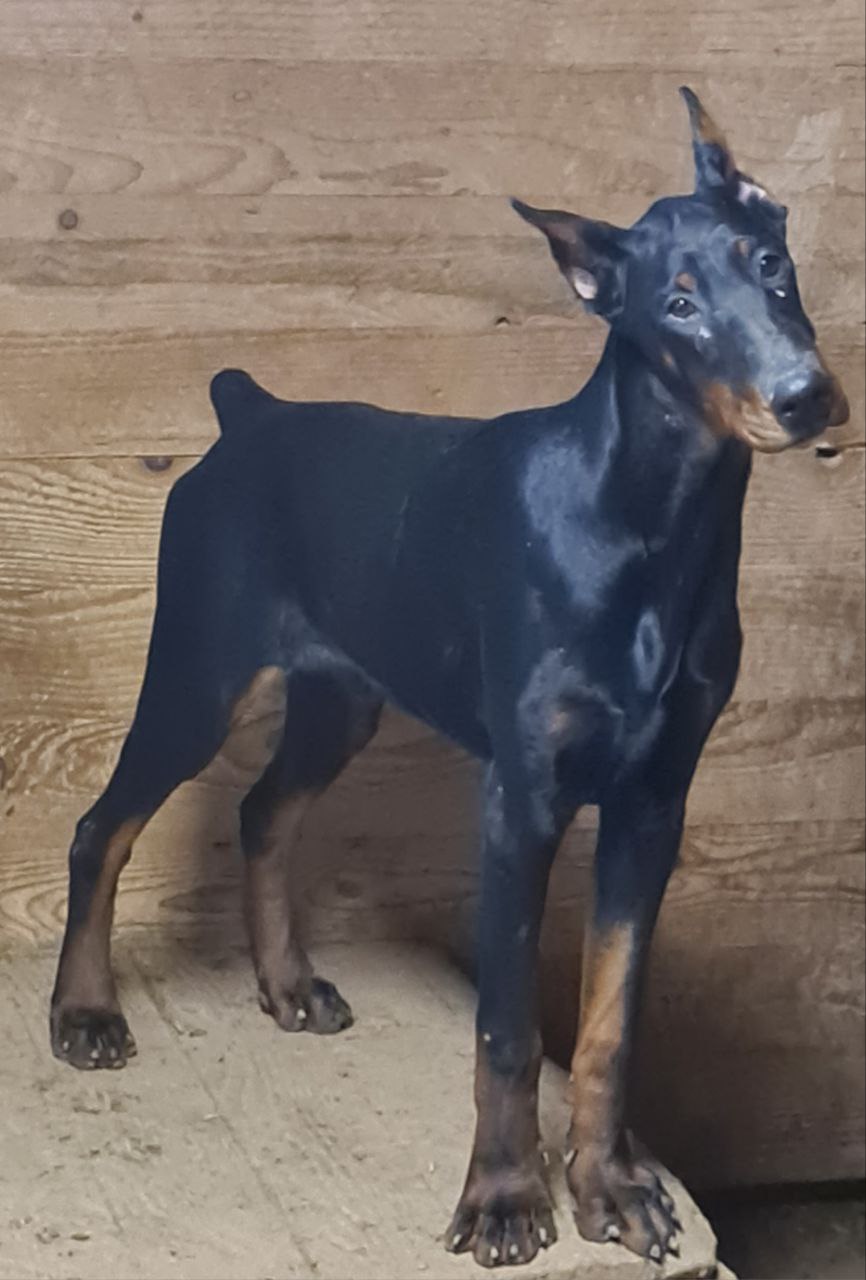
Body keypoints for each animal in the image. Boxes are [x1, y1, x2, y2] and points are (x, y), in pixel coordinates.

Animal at [50, 88, 849, 1267]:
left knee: (262, 812)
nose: (806, 396)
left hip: (338, 698)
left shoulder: (653, 801)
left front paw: (610, 1187)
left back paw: (285, 984)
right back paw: (85, 1015)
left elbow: (611, 1019)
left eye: (773, 264)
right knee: (103, 826)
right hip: (197, 674)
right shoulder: (520, 800)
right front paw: (508, 1200)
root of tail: (249, 411)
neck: (657, 526)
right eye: (679, 304)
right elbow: (507, 1025)